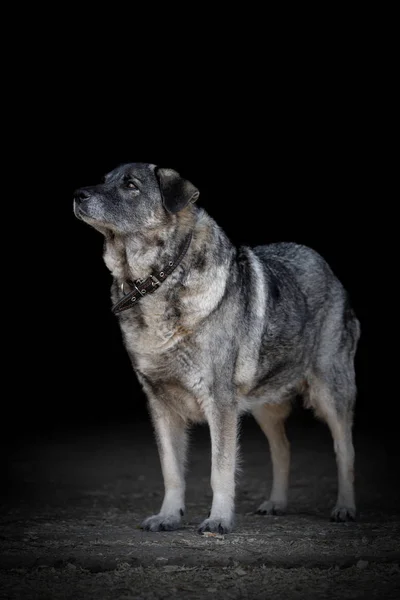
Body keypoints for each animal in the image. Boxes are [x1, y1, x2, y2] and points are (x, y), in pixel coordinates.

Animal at [73, 162, 360, 532]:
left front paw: (219, 519)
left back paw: (345, 507)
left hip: (331, 393)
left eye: (131, 186)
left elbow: (220, 470)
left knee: (345, 451)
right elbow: (171, 470)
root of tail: (323, 264)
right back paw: (277, 502)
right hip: (264, 402)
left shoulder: (220, 403)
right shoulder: (161, 405)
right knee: (282, 448)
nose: (78, 194)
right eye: (104, 180)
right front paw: (168, 516)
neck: (159, 279)